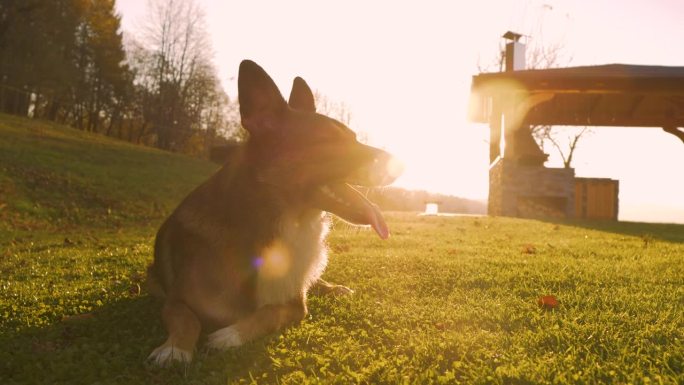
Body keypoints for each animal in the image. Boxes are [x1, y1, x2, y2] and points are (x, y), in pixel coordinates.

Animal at [144, 60, 400, 366]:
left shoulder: (295, 306)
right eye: (329, 140)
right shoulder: (175, 301)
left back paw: (335, 288)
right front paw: (175, 348)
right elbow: (186, 318)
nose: (401, 164)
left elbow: (269, 313)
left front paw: (230, 335)